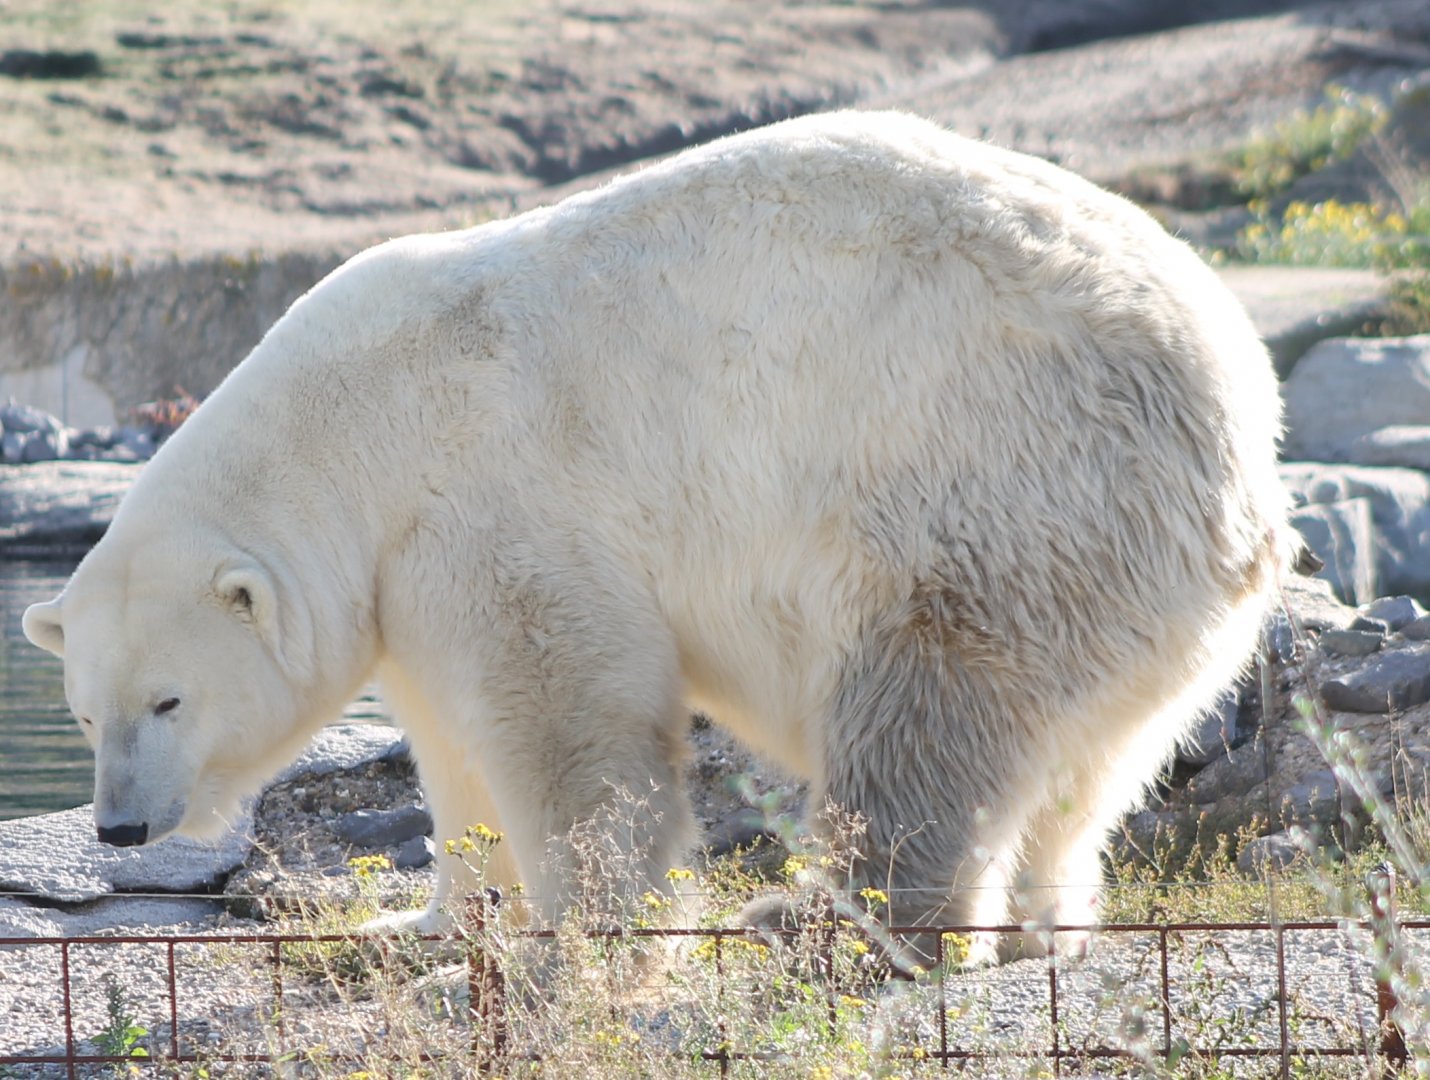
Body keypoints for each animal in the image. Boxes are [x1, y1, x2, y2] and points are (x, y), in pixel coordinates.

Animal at [23, 109, 1290, 962]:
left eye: (169, 700)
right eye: (85, 711)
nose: (122, 828)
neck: (354, 418)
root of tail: (1234, 416)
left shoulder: (494, 491)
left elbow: (562, 712)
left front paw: (580, 933)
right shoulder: (401, 570)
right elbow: (445, 743)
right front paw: (422, 923)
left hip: (991, 483)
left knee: (927, 712)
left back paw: (826, 917)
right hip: (1112, 572)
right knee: (1091, 762)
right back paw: (1043, 922)